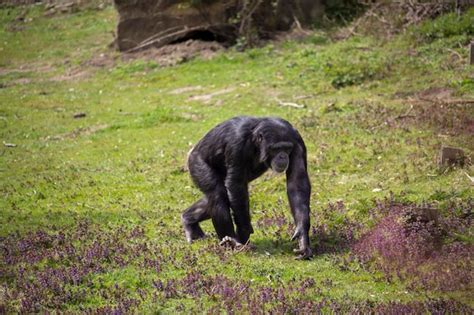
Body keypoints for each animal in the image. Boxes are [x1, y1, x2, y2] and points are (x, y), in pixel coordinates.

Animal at [181, 116, 312, 260]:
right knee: (217, 193)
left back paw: (189, 221)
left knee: (216, 196)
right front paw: (244, 231)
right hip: (196, 163)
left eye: (287, 148)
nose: (283, 156)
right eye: (276, 148)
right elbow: (235, 183)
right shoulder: (236, 144)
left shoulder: (297, 141)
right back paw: (231, 240)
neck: (255, 142)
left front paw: (302, 236)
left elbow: (297, 181)